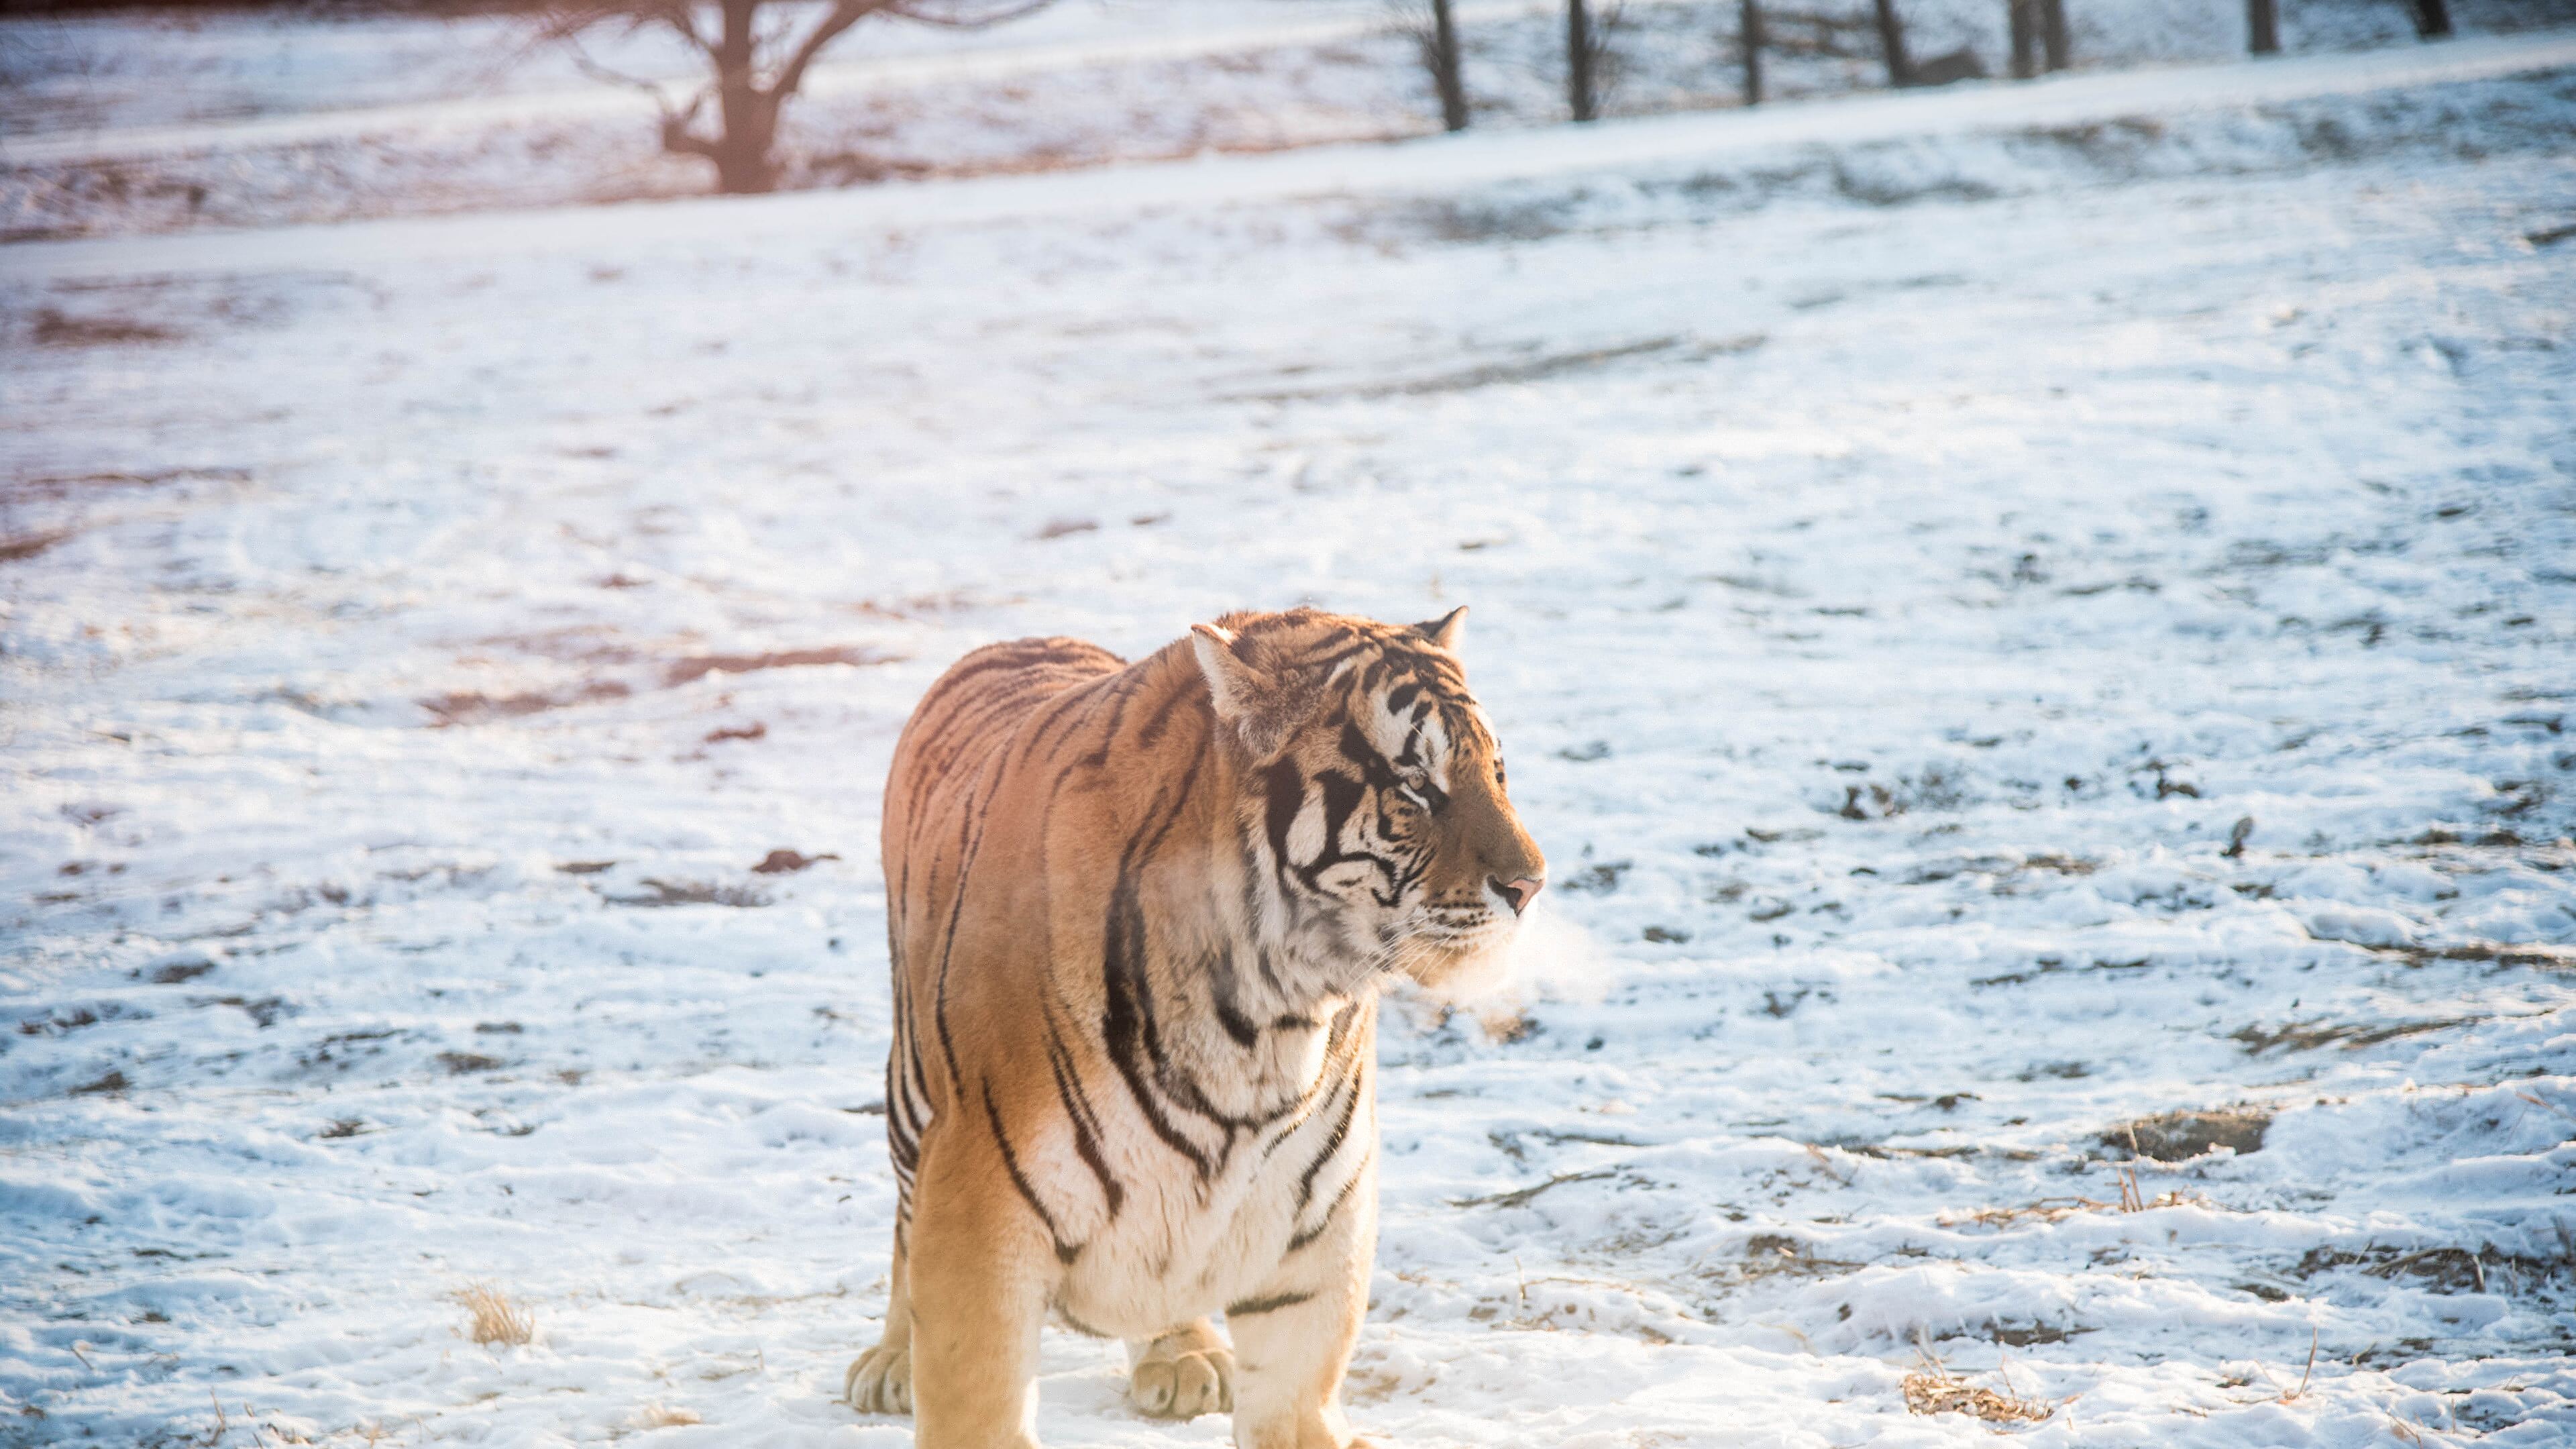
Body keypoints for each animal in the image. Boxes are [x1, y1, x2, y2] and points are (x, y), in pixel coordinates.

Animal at [841, 605, 1547, 1449]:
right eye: (1415, 785)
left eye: (1498, 772)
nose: (1531, 885)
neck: (1264, 1020)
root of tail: (1023, 639)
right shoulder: (981, 1216)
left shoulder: (1313, 1237)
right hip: (915, 1101)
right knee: (905, 1220)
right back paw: (892, 1362)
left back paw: (1183, 1357)